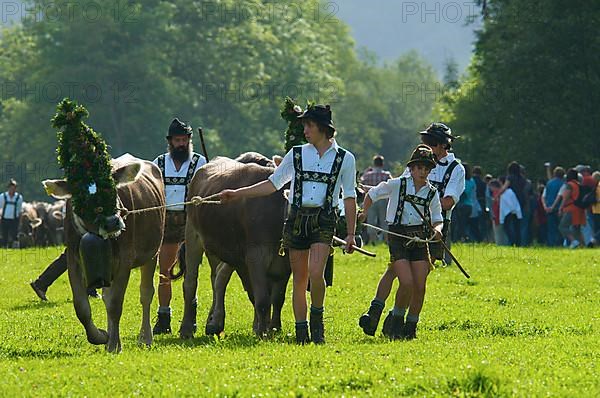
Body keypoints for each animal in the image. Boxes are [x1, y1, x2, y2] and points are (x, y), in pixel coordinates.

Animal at [178, 152, 290, 338]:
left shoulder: (285, 263)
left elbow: (278, 298)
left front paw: (274, 327)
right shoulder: (255, 255)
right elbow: (262, 298)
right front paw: (262, 331)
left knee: (217, 277)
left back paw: (215, 322)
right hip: (193, 234)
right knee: (190, 282)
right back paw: (187, 328)